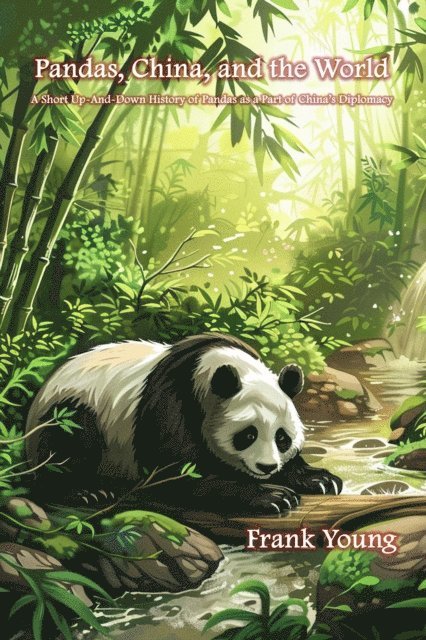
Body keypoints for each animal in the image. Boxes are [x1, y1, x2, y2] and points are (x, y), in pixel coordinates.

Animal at [26, 333, 342, 515]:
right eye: (247, 435)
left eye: (282, 438)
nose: (266, 467)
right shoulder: (171, 403)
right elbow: (174, 474)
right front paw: (272, 496)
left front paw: (319, 479)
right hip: (74, 410)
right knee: (68, 442)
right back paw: (85, 491)